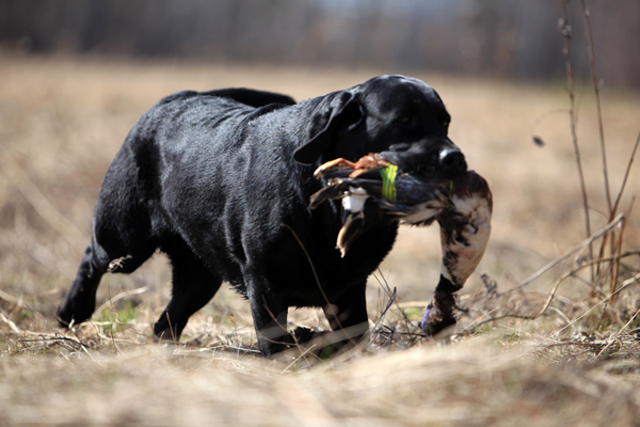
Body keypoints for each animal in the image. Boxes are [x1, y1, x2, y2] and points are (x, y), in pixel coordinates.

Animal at [58, 75, 464, 356]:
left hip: (199, 277)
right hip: (124, 239)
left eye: (445, 122)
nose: (455, 158)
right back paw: (71, 311)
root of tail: (175, 97)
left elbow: (353, 335)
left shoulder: (348, 289)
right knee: (93, 256)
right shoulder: (264, 282)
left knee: (166, 322)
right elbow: (273, 339)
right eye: (404, 120)